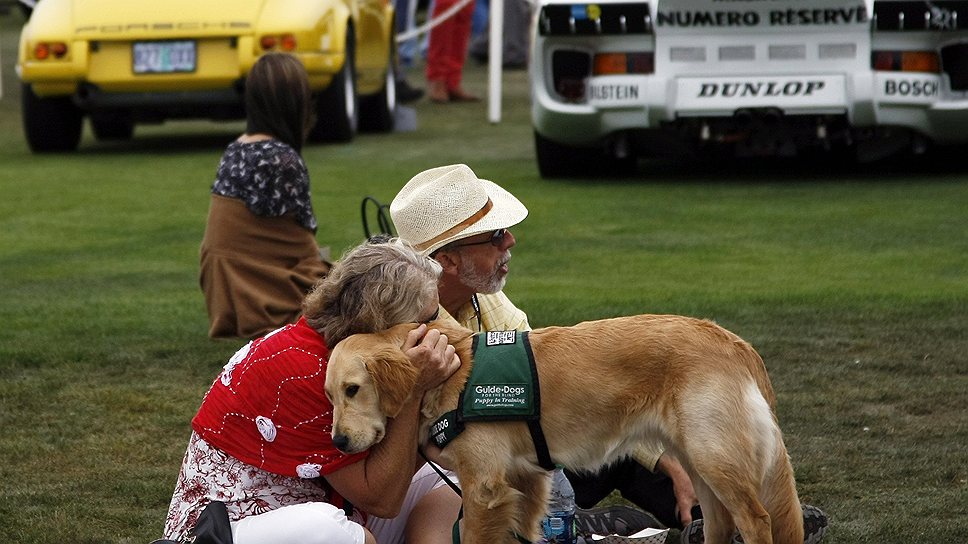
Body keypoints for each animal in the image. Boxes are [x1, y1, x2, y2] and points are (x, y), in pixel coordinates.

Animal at [328, 314, 804, 544]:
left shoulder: (484, 487)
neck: (451, 369)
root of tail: (735, 342)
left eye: (353, 390)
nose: (337, 441)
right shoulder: (526, 481)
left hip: (714, 456)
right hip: (699, 459)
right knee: (720, 524)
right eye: (330, 396)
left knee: (756, 521)